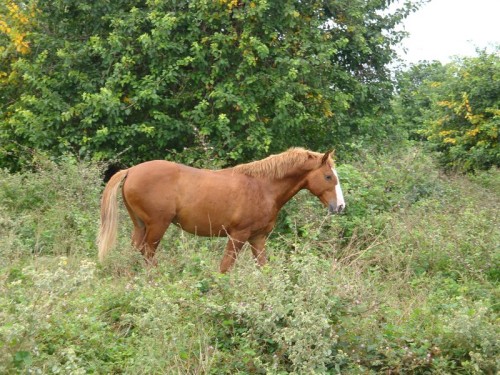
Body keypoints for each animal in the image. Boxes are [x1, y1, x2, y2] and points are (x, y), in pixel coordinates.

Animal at [96, 148, 344, 274]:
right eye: (328, 176)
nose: (340, 206)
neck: (262, 186)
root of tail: (131, 171)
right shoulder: (238, 236)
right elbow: (225, 267)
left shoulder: (258, 238)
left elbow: (263, 268)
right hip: (157, 225)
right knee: (147, 254)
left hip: (140, 225)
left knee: (135, 251)